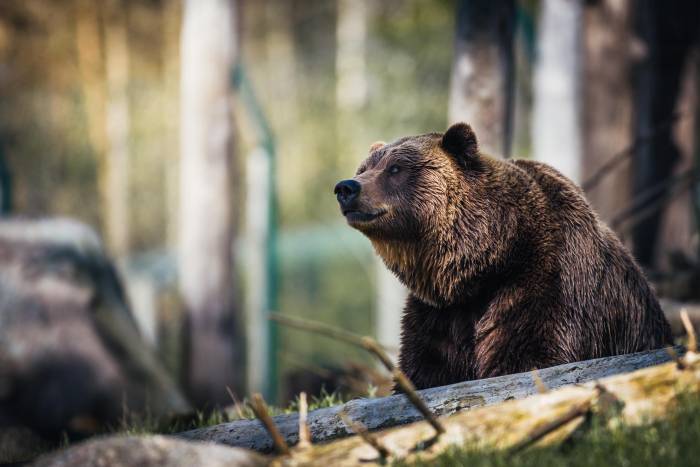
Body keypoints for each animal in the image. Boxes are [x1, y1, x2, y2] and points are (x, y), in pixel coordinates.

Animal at [334, 122, 673, 390]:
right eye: (364, 169)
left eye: (395, 168)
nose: (346, 187)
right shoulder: (439, 314)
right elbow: (425, 369)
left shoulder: (546, 283)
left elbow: (529, 355)